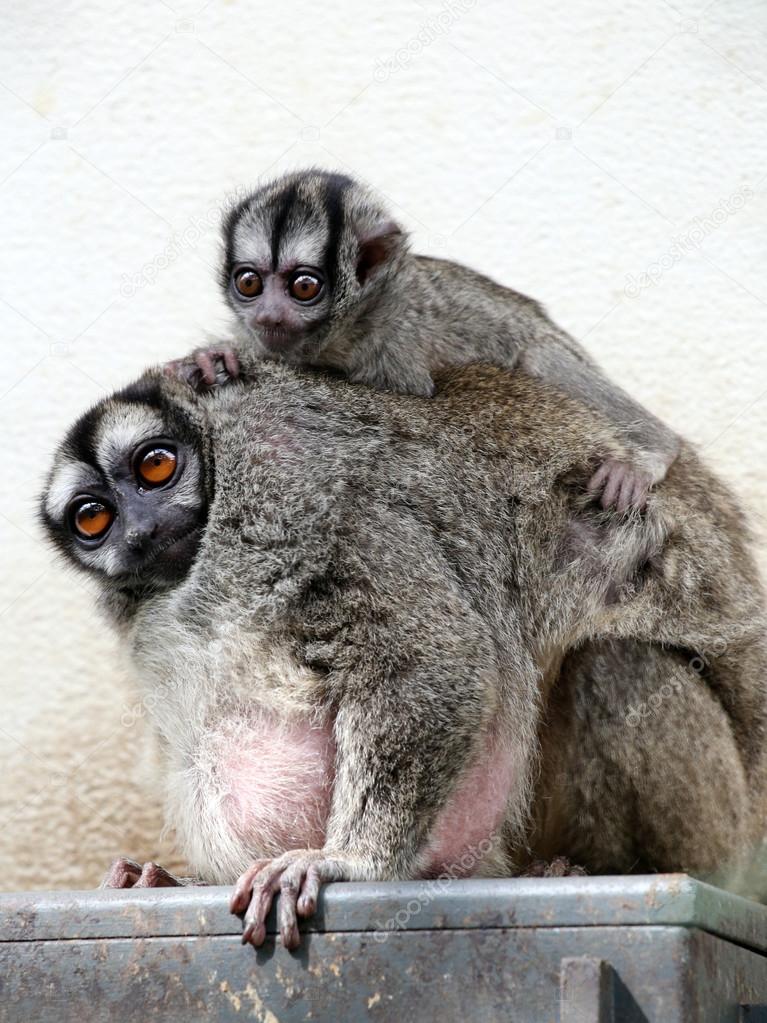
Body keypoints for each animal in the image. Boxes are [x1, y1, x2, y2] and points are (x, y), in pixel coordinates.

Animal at [40, 359, 767, 947]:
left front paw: (349, 863)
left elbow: (434, 657)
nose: (140, 530)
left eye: (155, 466)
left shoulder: (285, 485)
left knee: (614, 665)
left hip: (725, 835)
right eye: (93, 517)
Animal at [167, 168, 680, 513]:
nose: (269, 314)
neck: (348, 324)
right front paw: (213, 355)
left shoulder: (393, 341)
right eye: (249, 282)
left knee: (538, 353)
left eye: (304, 287)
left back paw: (656, 450)